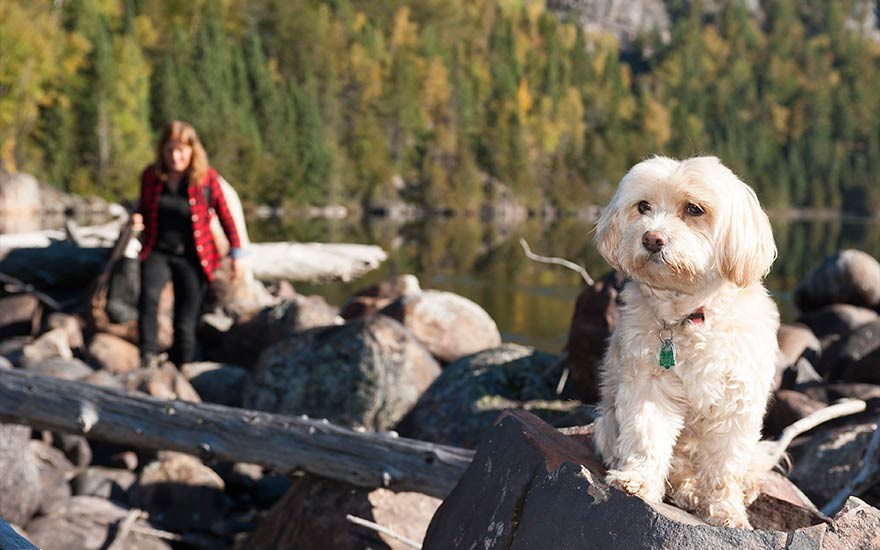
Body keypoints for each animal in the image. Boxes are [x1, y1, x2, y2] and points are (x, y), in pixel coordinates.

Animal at [592, 155, 776, 532]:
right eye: (643, 206)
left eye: (694, 209)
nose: (652, 238)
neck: (688, 316)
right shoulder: (648, 384)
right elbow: (647, 435)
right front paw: (639, 481)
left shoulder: (737, 401)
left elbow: (725, 467)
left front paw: (727, 513)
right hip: (605, 425)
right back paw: (686, 490)